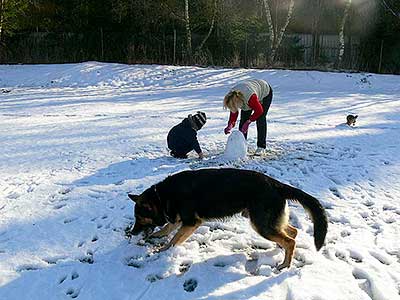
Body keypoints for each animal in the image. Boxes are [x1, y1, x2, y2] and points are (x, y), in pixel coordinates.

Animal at [128, 169, 328, 270]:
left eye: (139, 218)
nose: (132, 233)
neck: (161, 197)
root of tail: (276, 184)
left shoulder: (191, 222)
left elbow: (174, 238)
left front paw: (164, 249)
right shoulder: (180, 219)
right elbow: (168, 228)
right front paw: (158, 236)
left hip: (261, 225)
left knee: (290, 240)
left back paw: (285, 264)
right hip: (269, 223)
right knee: (292, 232)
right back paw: (282, 251)